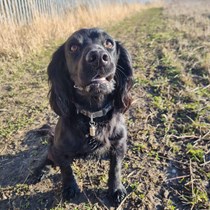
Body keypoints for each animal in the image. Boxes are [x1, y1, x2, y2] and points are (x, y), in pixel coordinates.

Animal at [44, 27, 133, 204]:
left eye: (109, 43)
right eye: (73, 47)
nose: (98, 57)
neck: (93, 115)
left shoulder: (119, 144)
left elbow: (115, 168)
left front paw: (116, 189)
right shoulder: (59, 148)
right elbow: (66, 169)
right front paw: (70, 187)